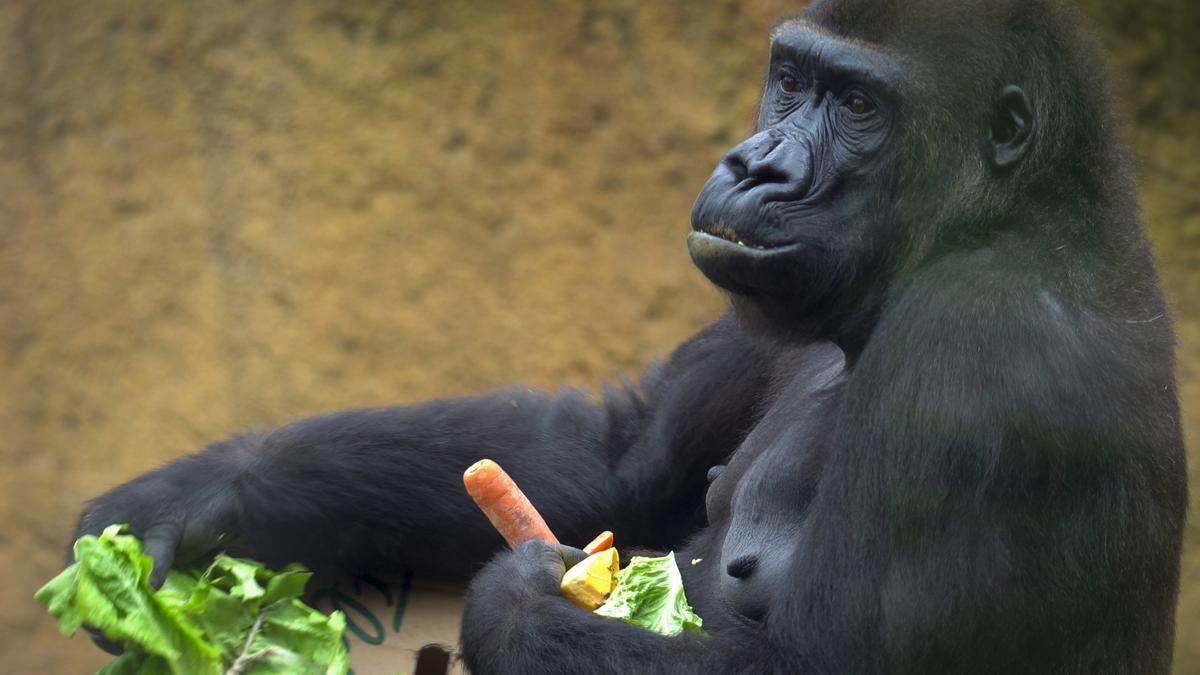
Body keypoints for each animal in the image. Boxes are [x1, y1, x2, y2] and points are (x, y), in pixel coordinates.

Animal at [75, 0, 1190, 667]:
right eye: (793, 78)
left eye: (860, 103)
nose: (756, 165)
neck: (1020, 210)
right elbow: (617, 457)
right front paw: (196, 500)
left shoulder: (981, 347)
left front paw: (520, 604)